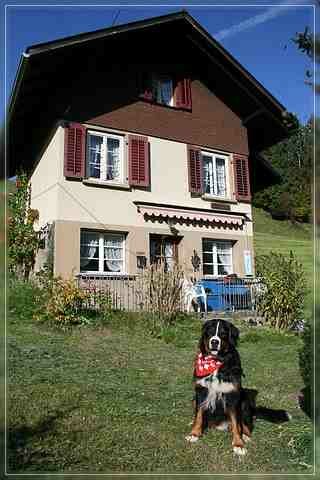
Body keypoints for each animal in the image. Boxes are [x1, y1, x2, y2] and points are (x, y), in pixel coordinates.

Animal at [186, 318, 254, 454]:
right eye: (210, 332)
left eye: (223, 334)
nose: (214, 341)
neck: (216, 361)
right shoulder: (201, 391)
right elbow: (199, 415)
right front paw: (194, 433)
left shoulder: (232, 395)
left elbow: (236, 422)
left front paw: (238, 444)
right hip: (193, 399)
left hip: (244, 400)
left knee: (243, 423)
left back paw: (246, 435)